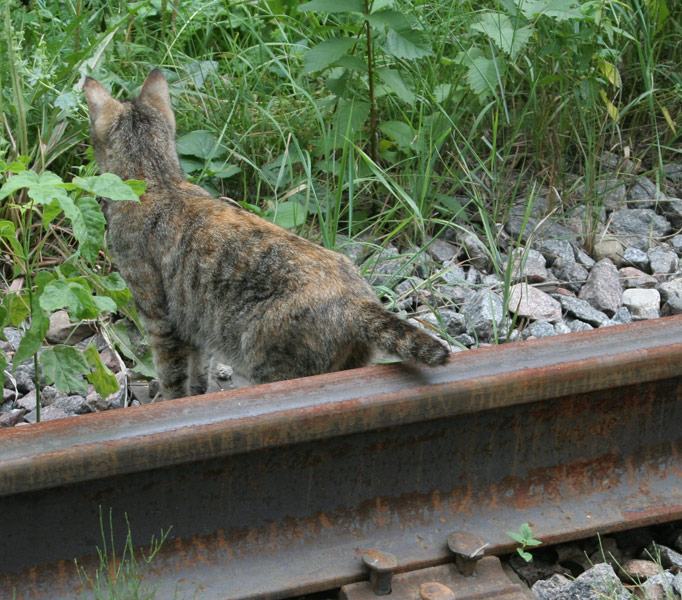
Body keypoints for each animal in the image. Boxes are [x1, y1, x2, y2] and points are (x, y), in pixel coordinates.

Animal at [82, 70, 448, 398]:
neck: (157, 180)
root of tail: (358, 300)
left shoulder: (160, 319)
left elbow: (173, 378)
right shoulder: (194, 326)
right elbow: (198, 374)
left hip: (272, 364)